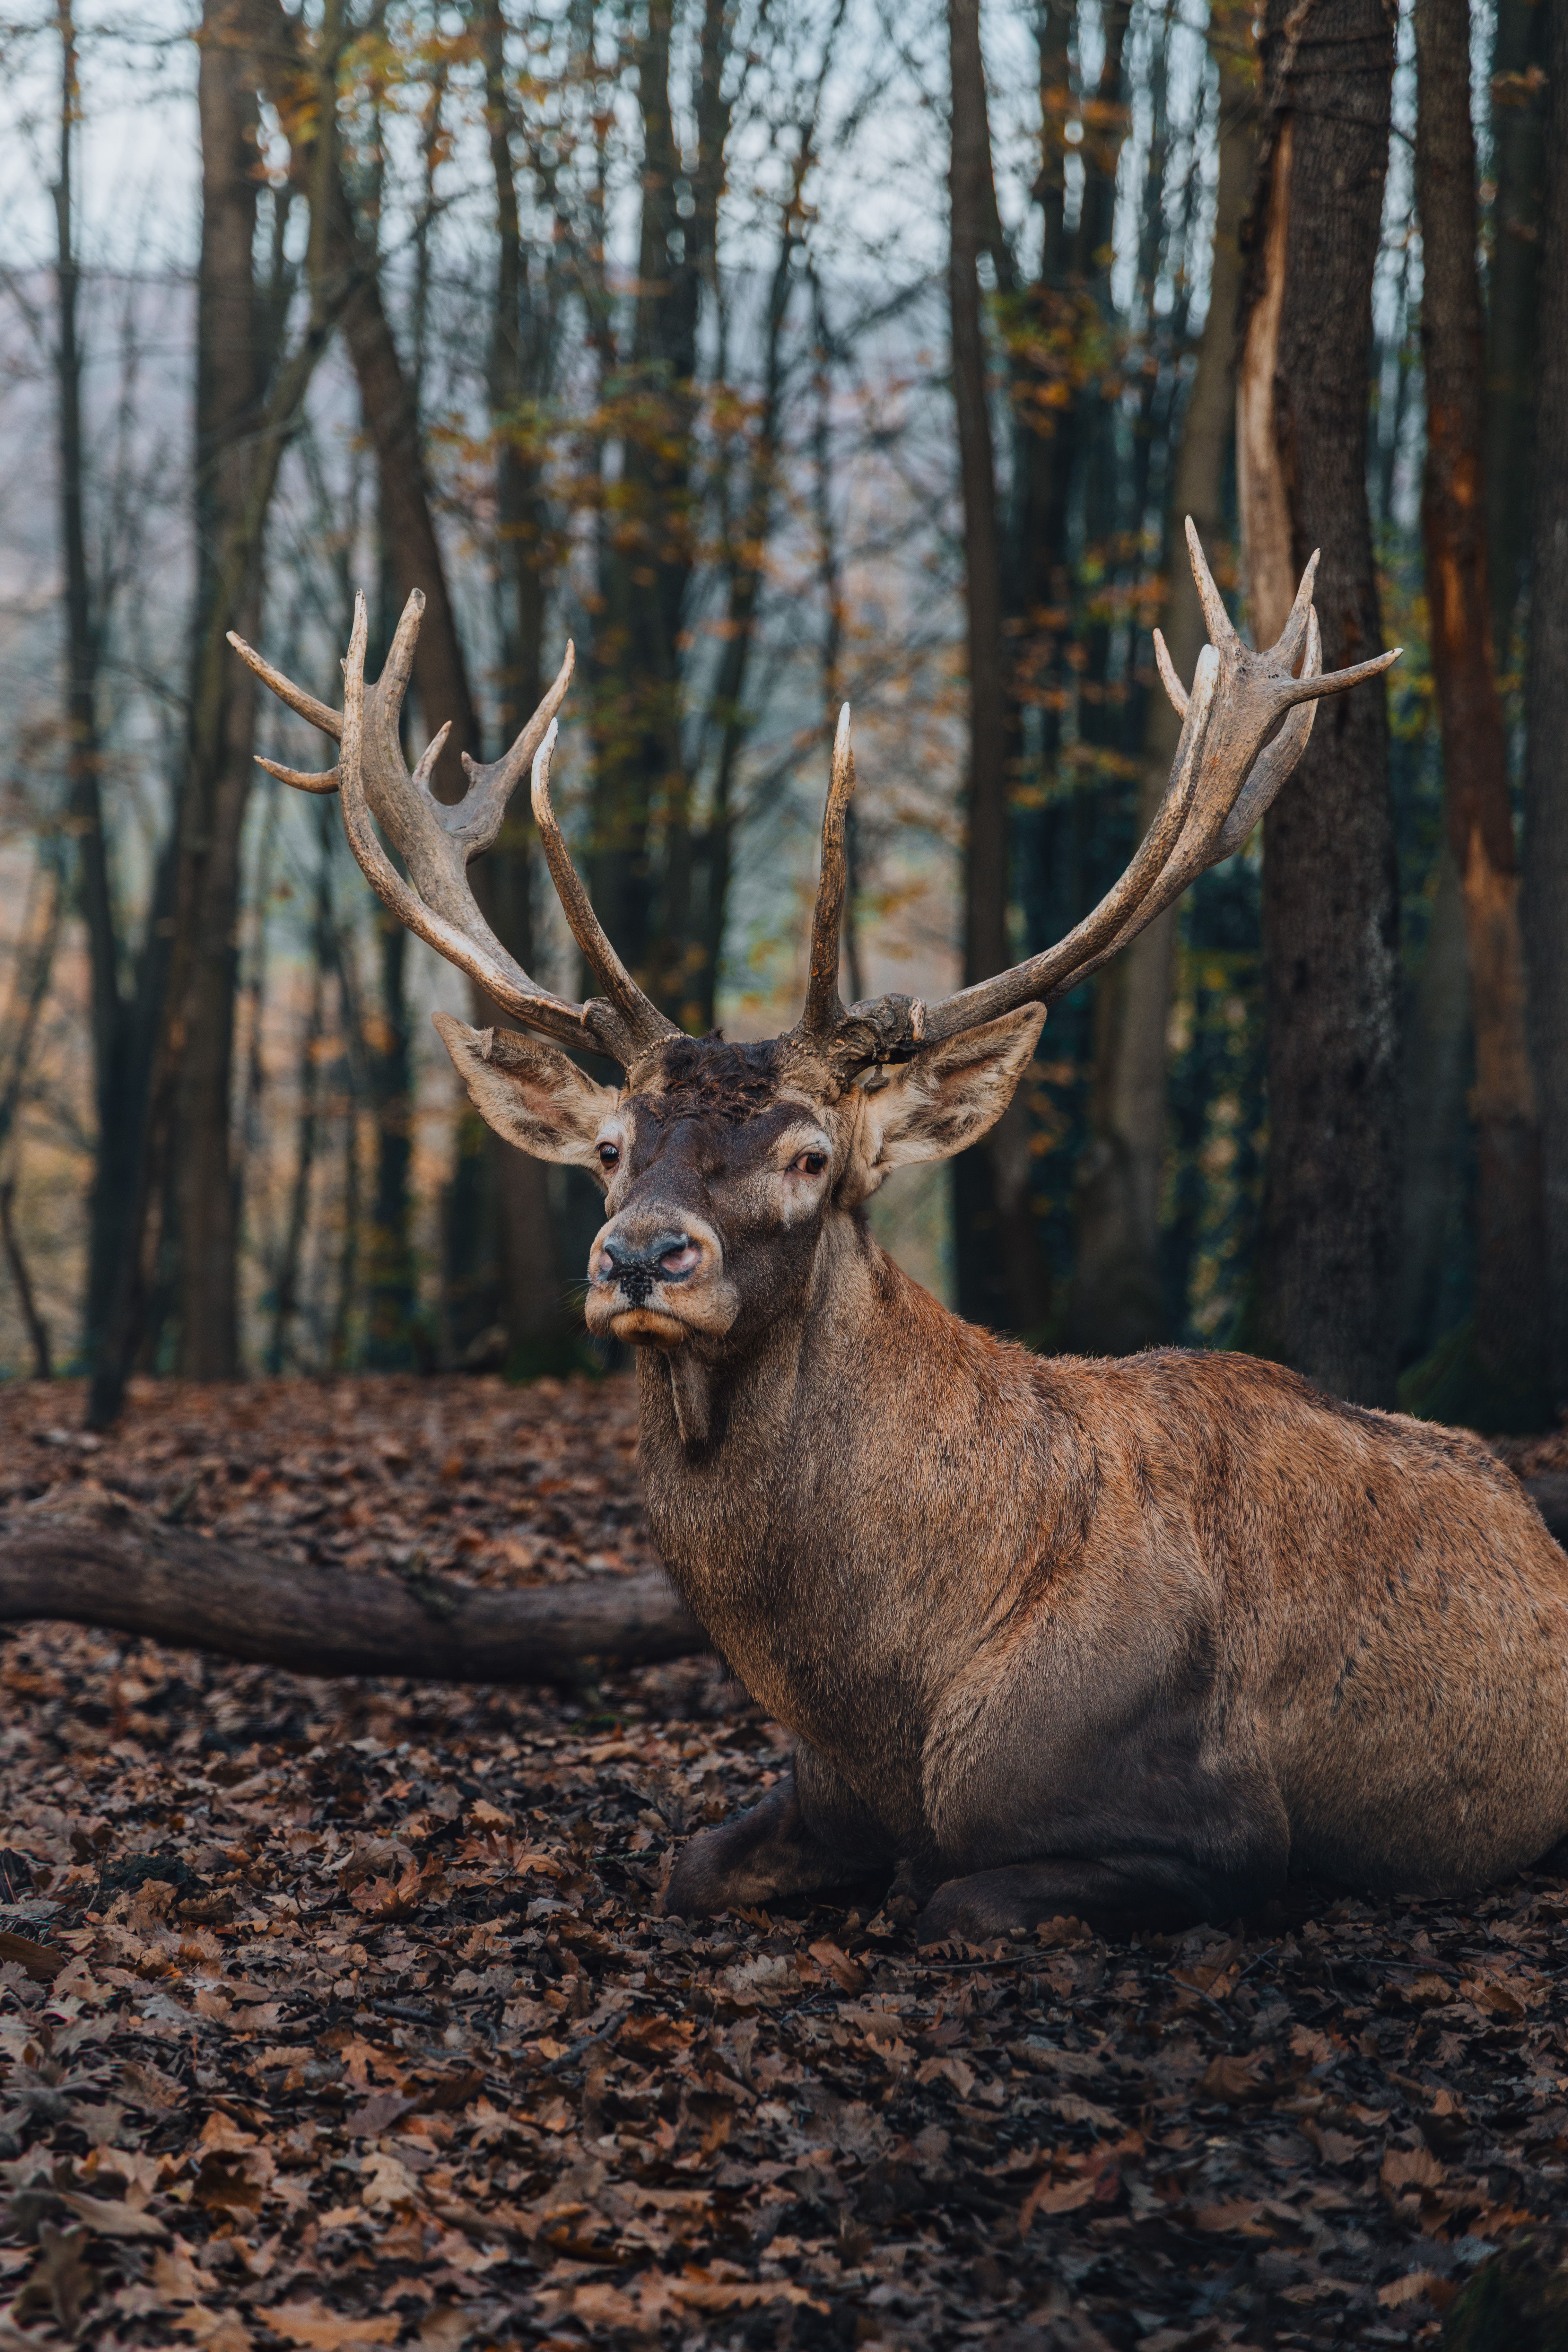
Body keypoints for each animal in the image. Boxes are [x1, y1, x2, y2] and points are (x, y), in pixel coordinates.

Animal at [230, 525, 1568, 1943]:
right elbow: (688, 1864)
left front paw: (922, 1881)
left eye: (811, 1157)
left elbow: (949, 1898)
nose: (641, 1255)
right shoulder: (814, 1789)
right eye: (607, 1151)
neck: (883, 1704)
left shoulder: (1219, 1823)